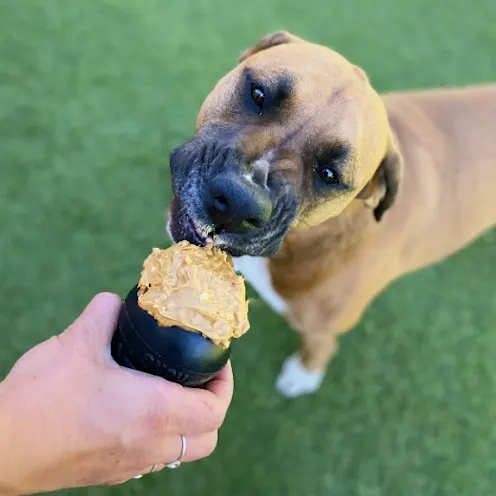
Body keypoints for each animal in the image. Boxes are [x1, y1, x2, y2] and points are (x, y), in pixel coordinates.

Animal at [168, 32, 496, 396]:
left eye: (329, 174)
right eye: (258, 94)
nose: (238, 202)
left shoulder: (323, 329)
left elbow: (320, 348)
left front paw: (303, 375)